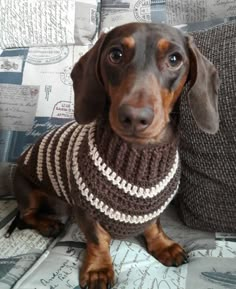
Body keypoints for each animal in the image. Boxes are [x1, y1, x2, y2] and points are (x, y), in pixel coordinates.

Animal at [9, 23, 219, 288]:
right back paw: (48, 224)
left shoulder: (154, 206)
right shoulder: (85, 208)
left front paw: (163, 246)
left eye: (174, 59)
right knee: (27, 215)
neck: (138, 157)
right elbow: (98, 239)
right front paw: (98, 268)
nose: (134, 117)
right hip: (26, 188)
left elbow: (154, 226)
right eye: (115, 54)